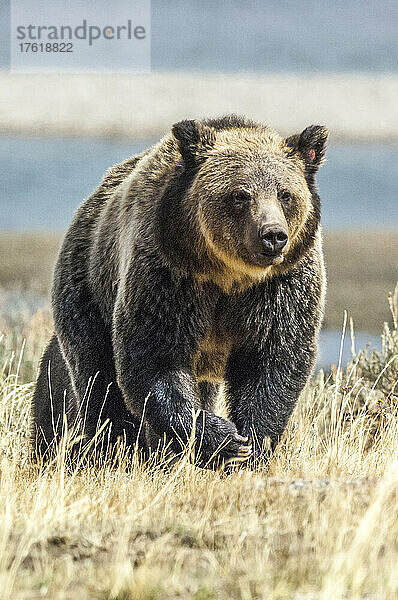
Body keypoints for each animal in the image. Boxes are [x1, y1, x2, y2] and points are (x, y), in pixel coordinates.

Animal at [31, 113, 328, 468]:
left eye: (285, 194)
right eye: (240, 194)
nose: (273, 235)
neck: (228, 275)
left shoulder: (280, 286)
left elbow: (275, 358)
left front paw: (251, 444)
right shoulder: (168, 275)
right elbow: (154, 356)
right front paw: (222, 439)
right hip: (88, 284)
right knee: (97, 380)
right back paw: (111, 449)